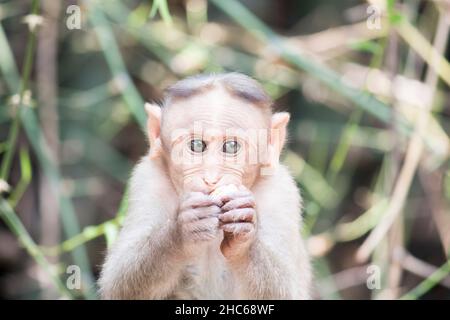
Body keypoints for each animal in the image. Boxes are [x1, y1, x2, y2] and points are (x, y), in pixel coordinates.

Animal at [97, 72, 312, 300]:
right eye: (197, 145)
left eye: (231, 146)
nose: (211, 178)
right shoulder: (147, 180)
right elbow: (117, 285)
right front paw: (183, 231)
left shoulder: (282, 191)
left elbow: (289, 292)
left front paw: (244, 238)